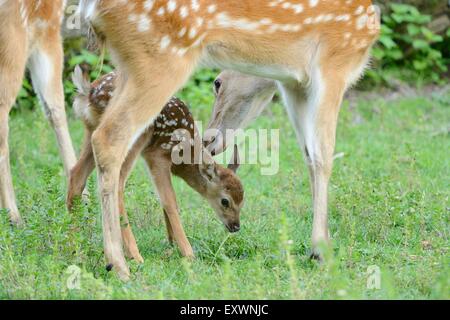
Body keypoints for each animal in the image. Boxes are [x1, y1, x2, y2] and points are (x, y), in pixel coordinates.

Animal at [80, 0, 380, 278]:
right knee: (108, 137)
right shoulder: (334, 63)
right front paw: (321, 251)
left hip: (127, 65)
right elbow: (324, 156)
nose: (209, 139)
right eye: (216, 82)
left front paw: (318, 246)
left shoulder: (294, 82)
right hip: (159, 56)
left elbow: (309, 156)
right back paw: (119, 265)